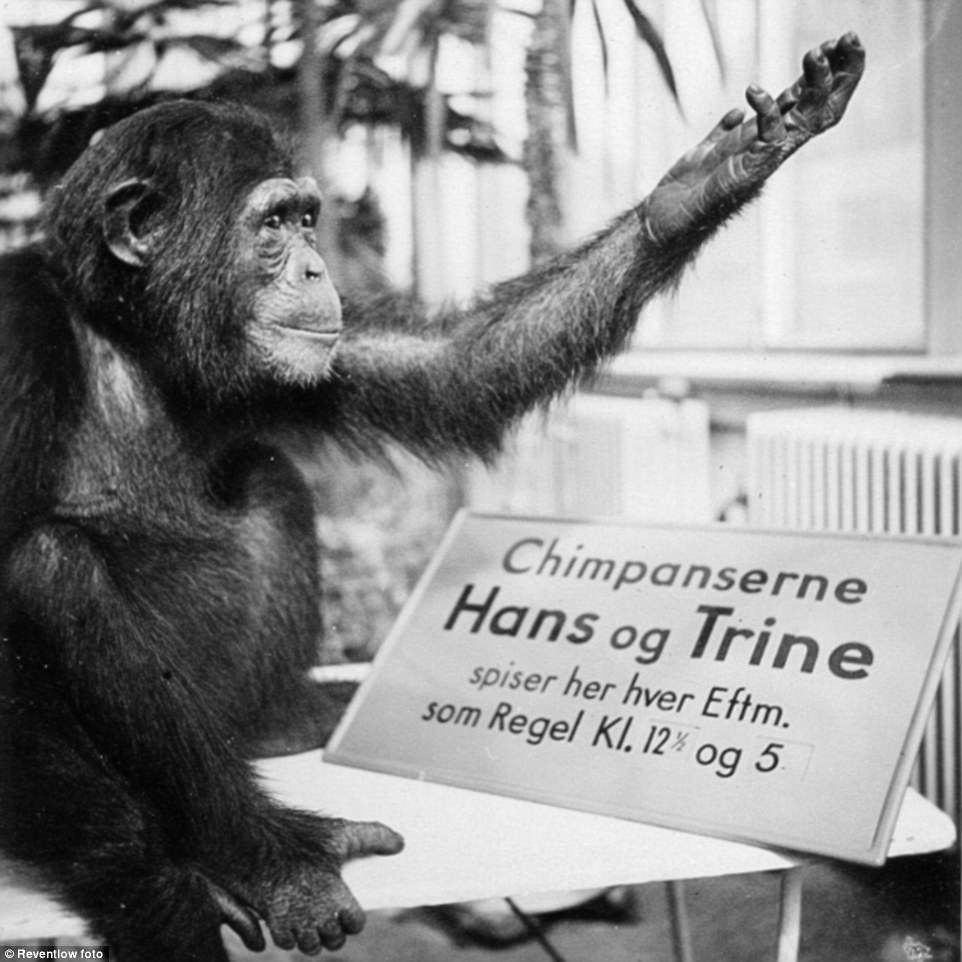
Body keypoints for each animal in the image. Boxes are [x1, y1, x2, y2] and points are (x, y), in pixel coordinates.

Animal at [0, 33, 864, 960]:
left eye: (306, 219)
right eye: (271, 224)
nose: (317, 265)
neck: (133, 335)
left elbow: (451, 371)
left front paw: (713, 175)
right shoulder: (17, 336)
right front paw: (183, 892)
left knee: (269, 480)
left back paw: (288, 724)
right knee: (51, 566)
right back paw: (250, 844)